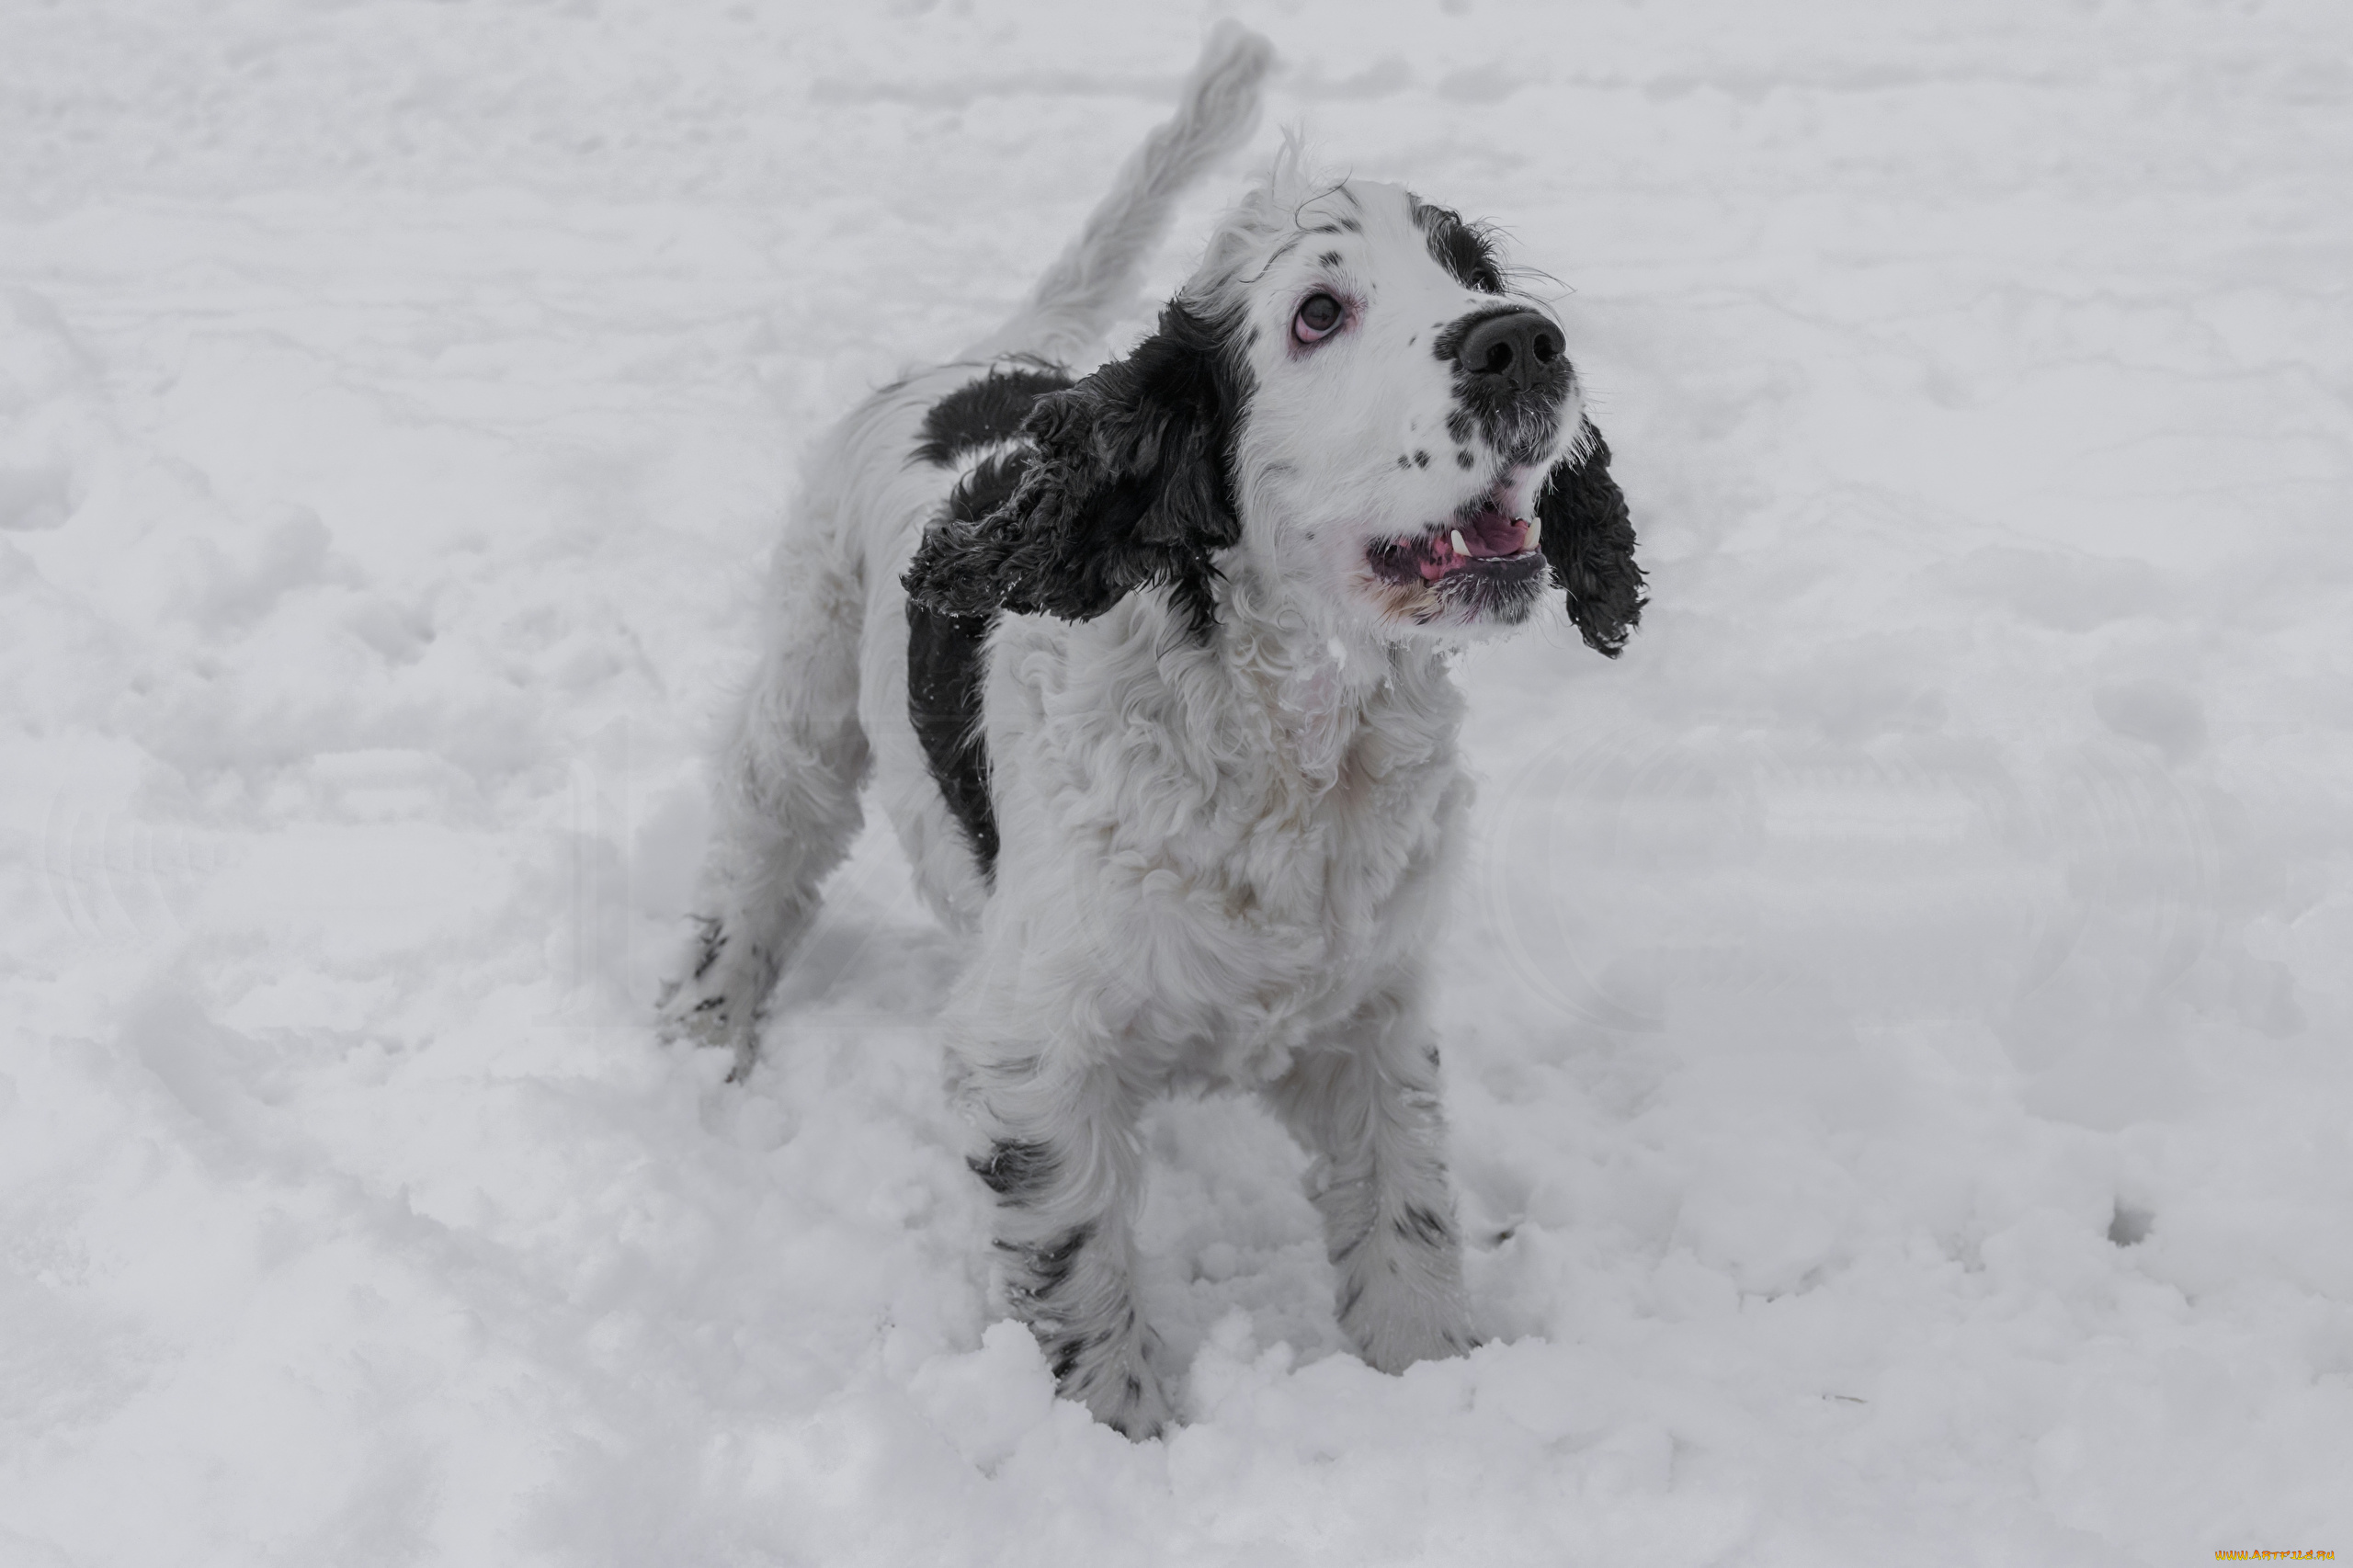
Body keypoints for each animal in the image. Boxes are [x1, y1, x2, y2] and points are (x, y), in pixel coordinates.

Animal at [663, 24, 1647, 1431]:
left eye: (1472, 271)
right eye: (1317, 313)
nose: (1525, 343)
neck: (1289, 736)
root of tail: (993, 359)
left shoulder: (1373, 1012)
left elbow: (1402, 1211)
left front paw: (1432, 1385)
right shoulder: (1033, 1050)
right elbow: (1077, 1261)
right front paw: (1124, 1435)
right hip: (804, 674)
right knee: (760, 850)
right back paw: (703, 1034)